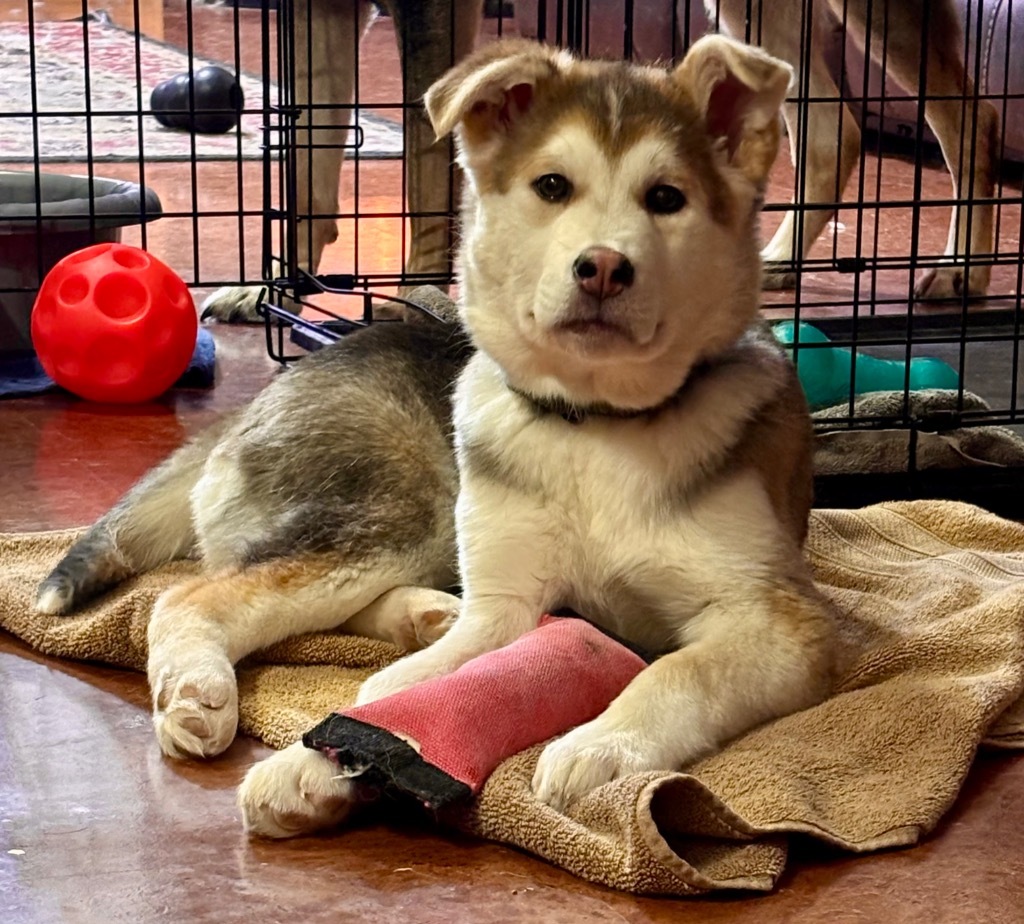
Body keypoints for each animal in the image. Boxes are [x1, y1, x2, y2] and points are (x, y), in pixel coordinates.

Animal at [241, 36, 839, 835]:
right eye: (552, 186)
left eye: (666, 198)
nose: (604, 268)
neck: (595, 427)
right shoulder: (503, 603)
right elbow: (414, 681)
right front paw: (310, 762)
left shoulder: (781, 616)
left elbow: (683, 669)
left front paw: (601, 745)